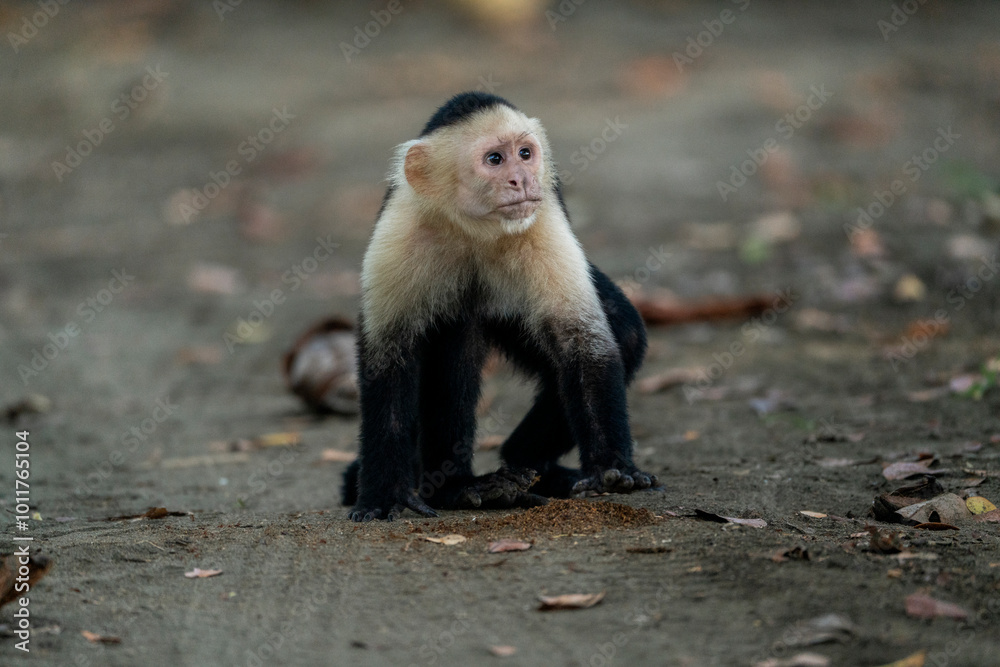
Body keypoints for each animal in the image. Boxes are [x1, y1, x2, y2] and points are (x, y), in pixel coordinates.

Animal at [344, 91, 655, 521]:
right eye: (495, 159)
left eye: (525, 154)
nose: (521, 179)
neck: (472, 227)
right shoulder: (400, 232)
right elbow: (388, 360)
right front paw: (384, 495)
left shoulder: (541, 220)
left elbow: (582, 344)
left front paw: (611, 467)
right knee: (453, 343)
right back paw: (457, 488)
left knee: (624, 334)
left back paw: (525, 461)